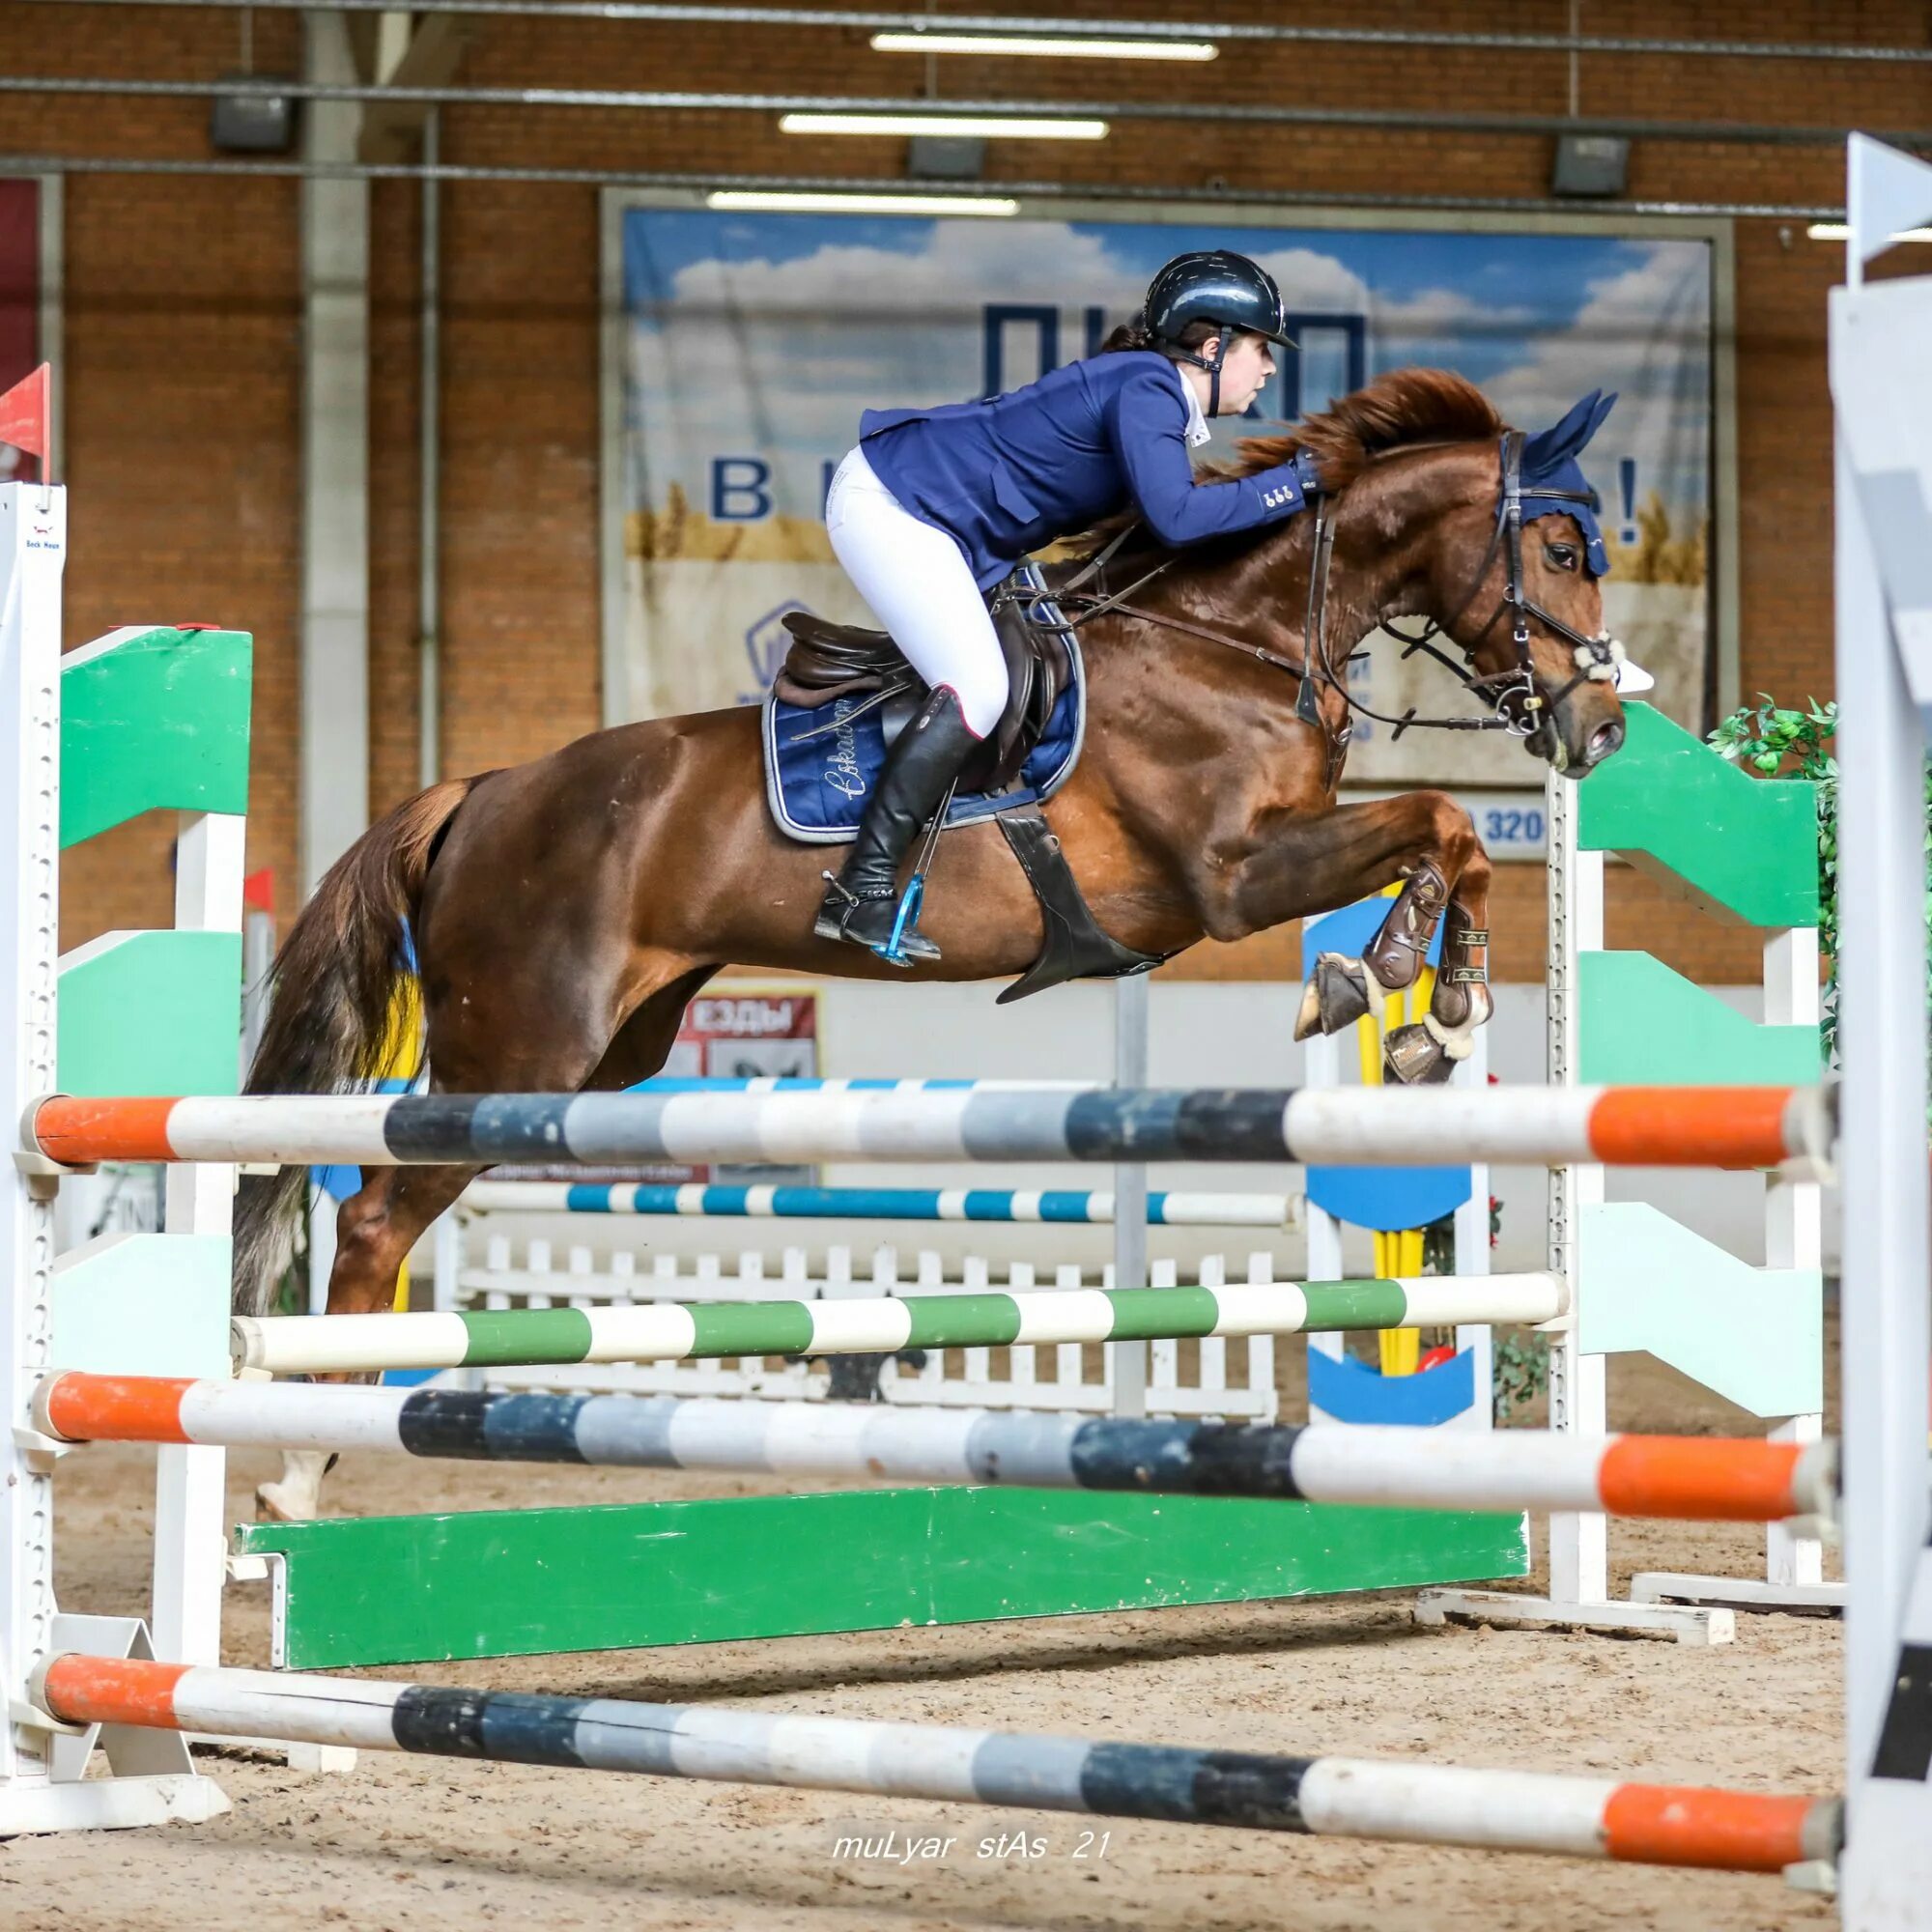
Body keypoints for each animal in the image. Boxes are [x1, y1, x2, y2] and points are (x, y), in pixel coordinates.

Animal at [238, 363, 1631, 1515]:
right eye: (1563, 546)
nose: (1601, 727)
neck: (1232, 646)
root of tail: (483, 789)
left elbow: (1445, 832)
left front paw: (1424, 1000)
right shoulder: (1232, 882)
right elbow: (1439, 816)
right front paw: (1395, 983)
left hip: (608, 1050)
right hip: (521, 1049)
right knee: (374, 1220)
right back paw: (300, 1463)